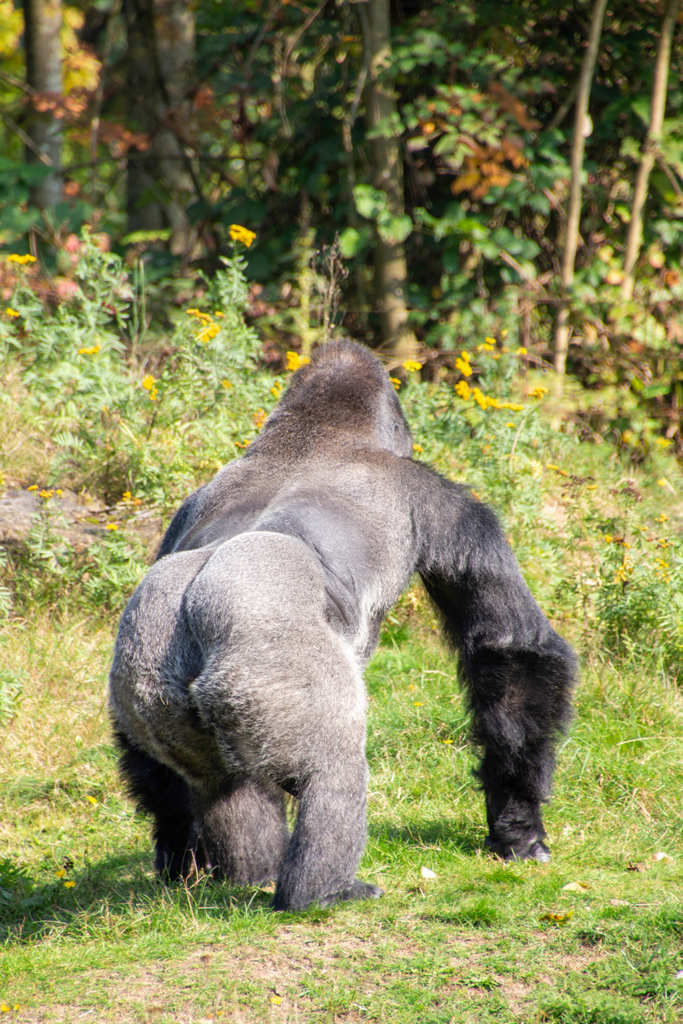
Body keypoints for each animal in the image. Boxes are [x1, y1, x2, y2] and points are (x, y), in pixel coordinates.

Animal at [109, 339, 576, 912]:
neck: (305, 440)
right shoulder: (438, 499)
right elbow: (509, 648)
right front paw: (519, 824)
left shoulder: (184, 509)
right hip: (263, 677)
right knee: (331, 767)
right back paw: (321, 890)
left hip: (149, 688)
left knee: (208, 779)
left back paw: (236, 871)